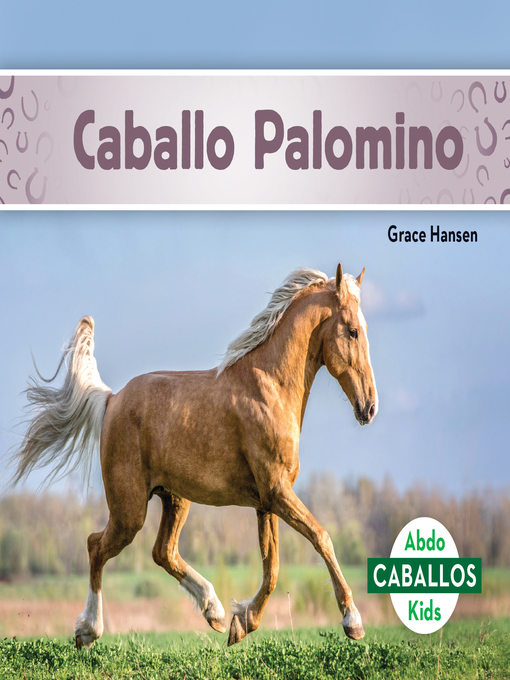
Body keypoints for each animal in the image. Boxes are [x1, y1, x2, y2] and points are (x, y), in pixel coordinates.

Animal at [10, 263, 378, 649]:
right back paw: (88, 630)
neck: (271, 388)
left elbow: (272, 567)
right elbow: (321, 538)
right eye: (353, 331)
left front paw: (241, 622)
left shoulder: (267, 501)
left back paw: (214, 611)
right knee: (96, 546)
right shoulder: (277, 492)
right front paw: (353, 622)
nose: (369, 407)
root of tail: (111, 400)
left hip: (174, 499)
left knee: (163, 552)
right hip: (129, 509)